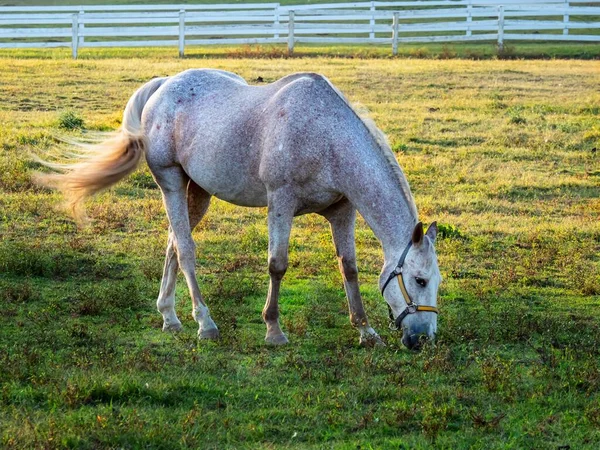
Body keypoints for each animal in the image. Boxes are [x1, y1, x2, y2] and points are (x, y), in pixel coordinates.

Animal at [38, 70, 440, 350]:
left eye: (436, 282)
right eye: (419, 280)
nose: (423, 339)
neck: (326, 136)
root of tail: (164, 85)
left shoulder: (342, 211)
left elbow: (350, 269)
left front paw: (366, 331)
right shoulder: (281, 202)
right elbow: (277, 265)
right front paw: (274, 329)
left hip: (198, 192)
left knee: (172, 242)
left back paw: (169, 317)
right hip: (170, 183)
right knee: (185, 249)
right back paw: (205, 324)